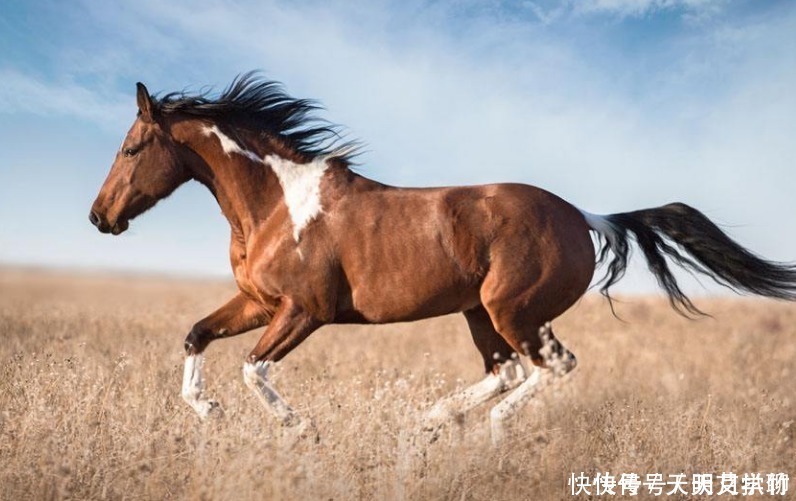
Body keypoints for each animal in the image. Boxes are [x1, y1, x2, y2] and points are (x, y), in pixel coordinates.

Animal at [89, 73, 796, 442]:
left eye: (130, 148)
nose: (99, 218)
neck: (277, 204)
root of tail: (584, 217)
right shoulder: (258, 302)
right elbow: (196, 335)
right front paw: (206, 411)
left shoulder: (304, 310)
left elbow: (252, 369)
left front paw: (301, 430)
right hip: (478, 312)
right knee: (506, 371)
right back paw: (427, 420)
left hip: (512, 310)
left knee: (550, 367)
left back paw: (488, 432)